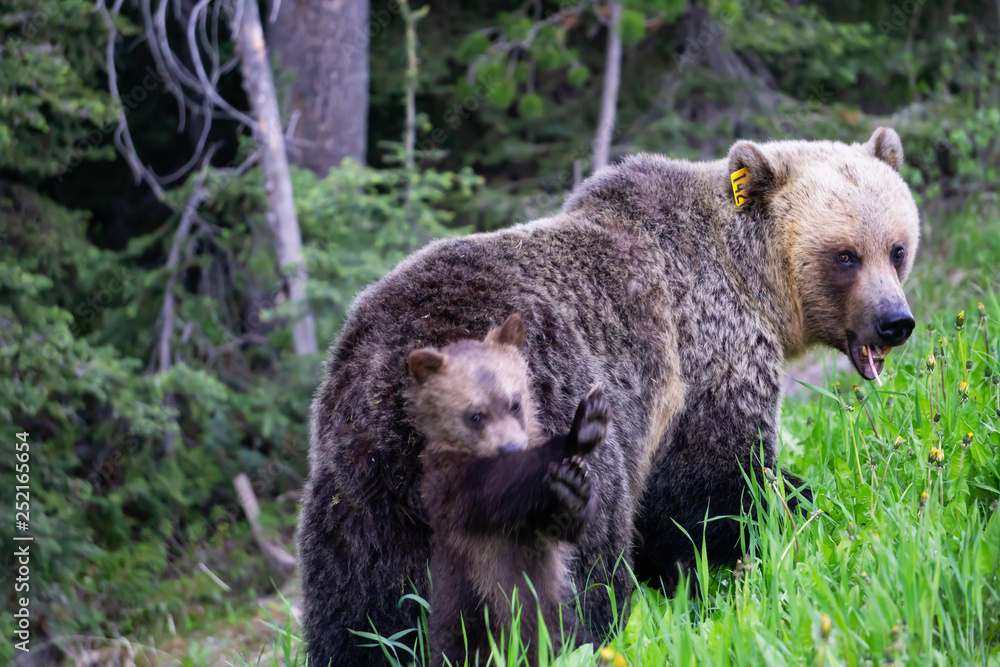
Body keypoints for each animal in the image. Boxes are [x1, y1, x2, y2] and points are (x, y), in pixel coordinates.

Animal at [406, 313, 609, 667]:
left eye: (515, 403)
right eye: (475, 415)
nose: (512, 446)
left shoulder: (532, 526)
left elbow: (557, 526)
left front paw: (572, 488)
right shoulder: (454, 490)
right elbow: (499, 487)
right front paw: (580, 430)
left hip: (561, 624)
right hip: (468, 619)